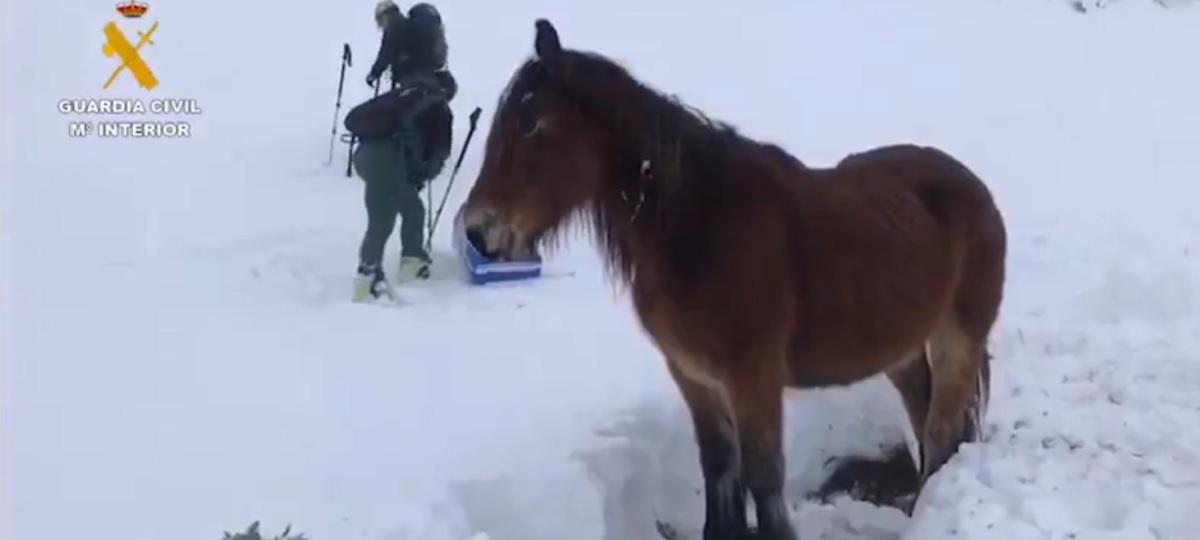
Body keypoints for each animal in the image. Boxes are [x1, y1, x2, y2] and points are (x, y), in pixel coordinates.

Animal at [463, 18, 1008, 540]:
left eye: (531, 124)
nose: (477, 230)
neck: (700, 227)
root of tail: (973, 186)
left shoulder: (753, 377)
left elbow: (763, 477)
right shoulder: (694, 376)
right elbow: (719, 466)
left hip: (957, 339)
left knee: (940, 431)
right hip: (901, 350)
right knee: (924, 417)